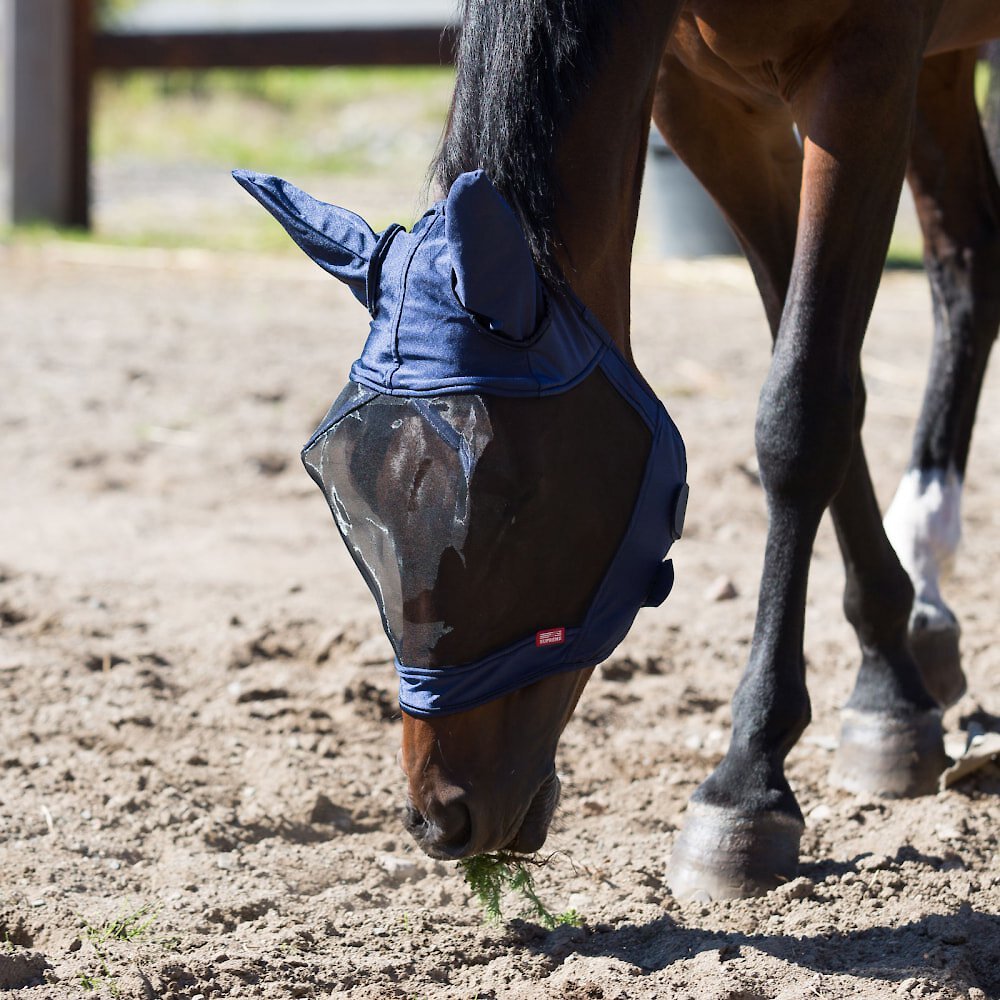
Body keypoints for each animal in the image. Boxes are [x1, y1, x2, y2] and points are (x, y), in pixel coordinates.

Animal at [240, 0, 1000, 904]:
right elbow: (812, 357)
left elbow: (805, 407)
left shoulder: (866, 68)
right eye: (341, 498)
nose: (440, 816)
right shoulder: (707, 103)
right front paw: (889, 689)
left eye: (509, 505)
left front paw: (748, 782)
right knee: (969, 266)